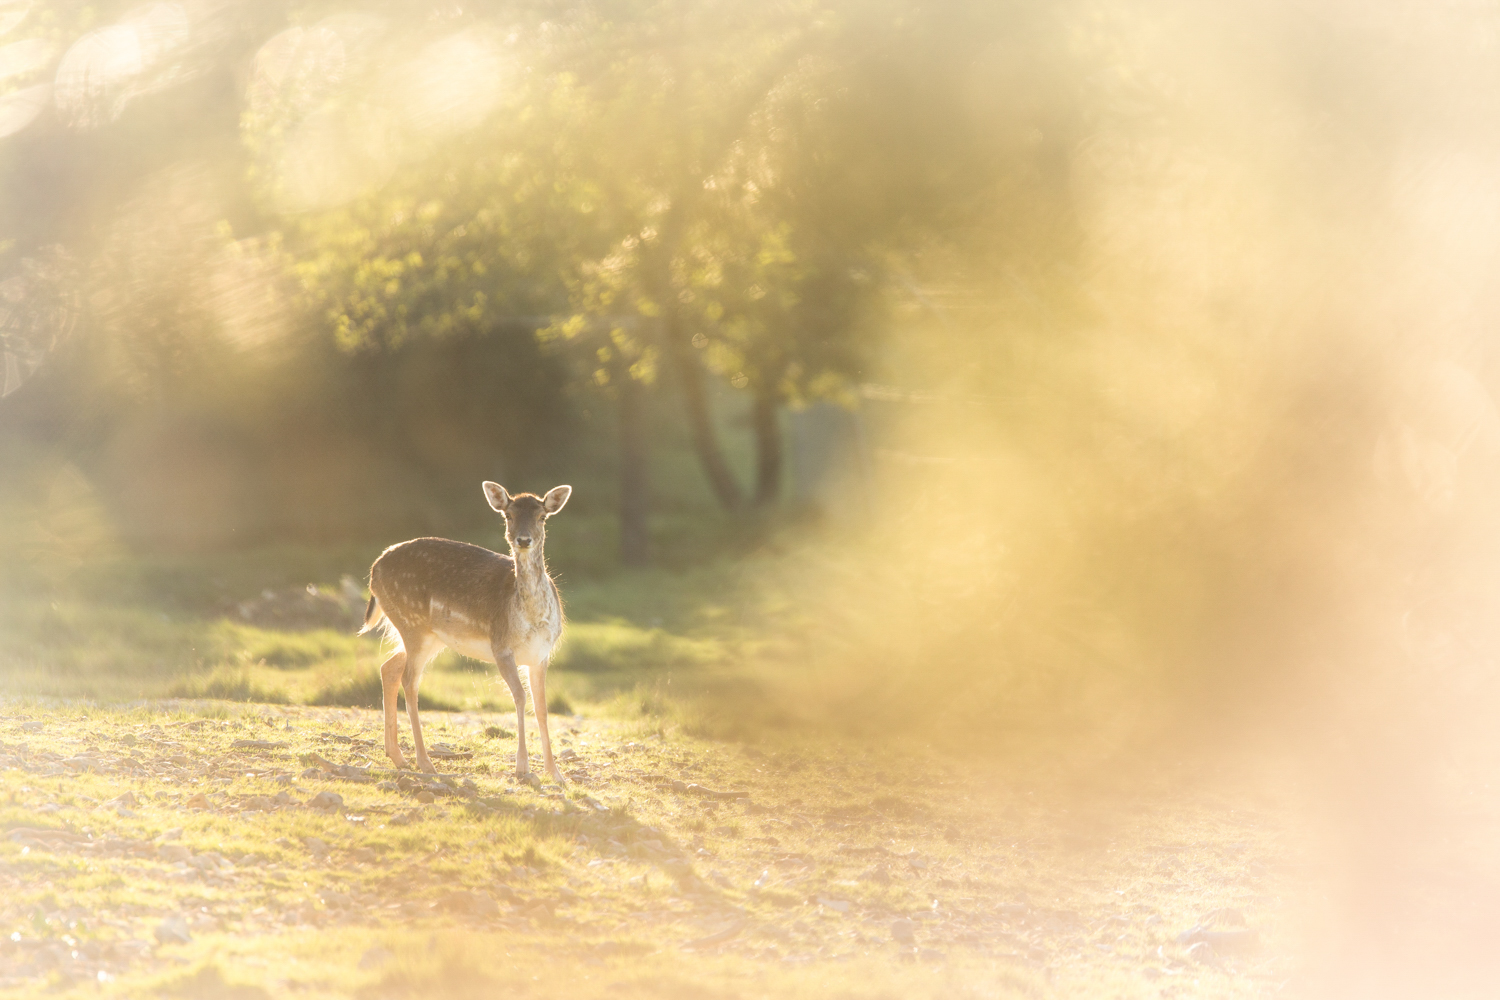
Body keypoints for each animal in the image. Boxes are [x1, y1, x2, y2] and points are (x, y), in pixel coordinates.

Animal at [360, 482, 570, 779]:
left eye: (542, 517)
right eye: (508, 515)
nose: (523, 540)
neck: (531, 619)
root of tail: (374, 572)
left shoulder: (541, 654)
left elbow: (542, 707)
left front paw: (555, 773)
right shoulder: (501, 646)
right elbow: (519, 697)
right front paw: (522, 767)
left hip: (430, 637)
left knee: (388, 668)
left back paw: (398, 757)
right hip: (412, 624)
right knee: (409, 680)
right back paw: (425, 762)